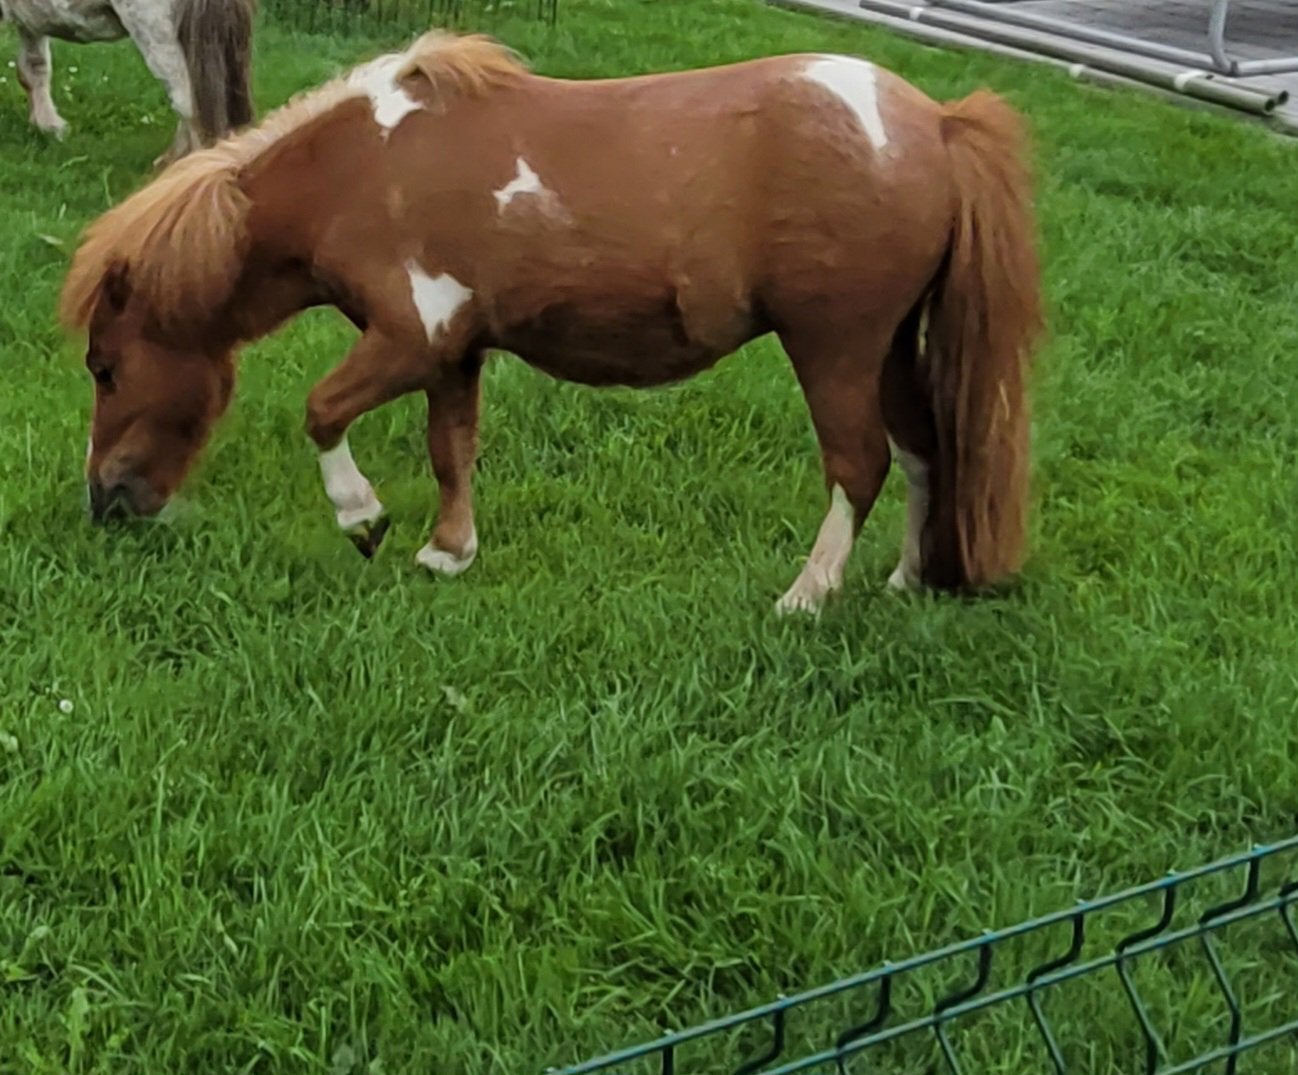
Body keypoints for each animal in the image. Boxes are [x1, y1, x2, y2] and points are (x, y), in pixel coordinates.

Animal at [59, 30, 1043, 614]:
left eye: (106, 367)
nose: (105, 501)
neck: (360, 170)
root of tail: (937, 122)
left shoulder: (409, 339)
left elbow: (322, 411)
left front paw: (363, 519)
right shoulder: (454, 353)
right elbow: (450, 448)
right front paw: (447, 553)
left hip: (835, 346)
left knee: (860, 462)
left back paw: (808, 594)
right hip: (889, 348)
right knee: (922, 451)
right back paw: (905, 578)